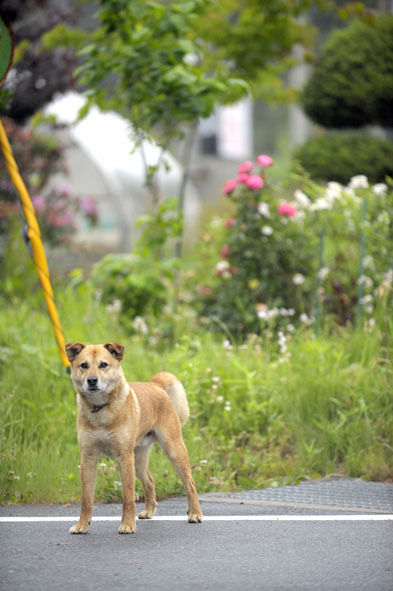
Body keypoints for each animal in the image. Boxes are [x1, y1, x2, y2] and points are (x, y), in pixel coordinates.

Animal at [65, 340, 202, 536]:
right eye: (84, 365)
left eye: (103, 365)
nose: (91, 380)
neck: (101, 410)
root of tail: (156, 385)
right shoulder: (88, 458)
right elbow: (86, 499)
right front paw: (82, 525)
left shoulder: (124, 457)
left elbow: (128, 497)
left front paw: (128, 525)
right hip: (138, 459)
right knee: (150, 481)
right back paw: (149, 511)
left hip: (173, 450)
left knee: (190, 484)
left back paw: (195, 513)